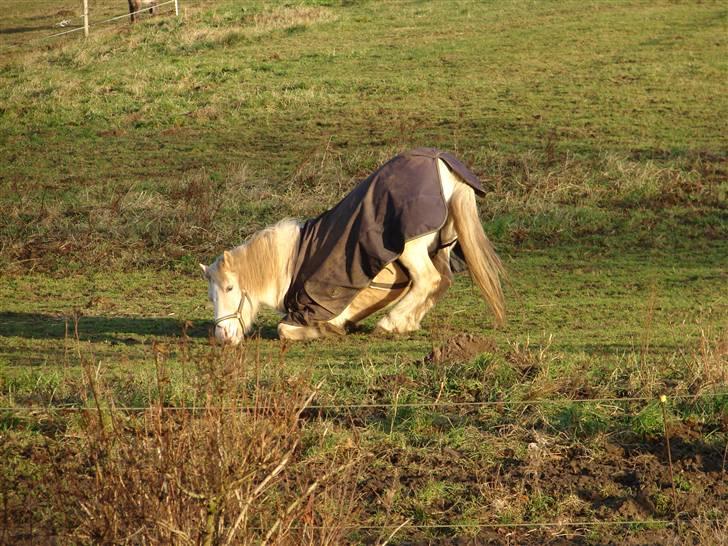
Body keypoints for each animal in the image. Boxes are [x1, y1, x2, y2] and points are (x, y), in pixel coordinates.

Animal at [199, 147, 506, 342]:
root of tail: (441, 163)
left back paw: (390, 324)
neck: (289, 264)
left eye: (230, 288)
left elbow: (285, 330)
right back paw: (406, 323)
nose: (223, 337)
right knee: (441, 281)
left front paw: (323, 331)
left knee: (428, 280)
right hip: (441, 247)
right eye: (211, 297)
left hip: (412, 247)